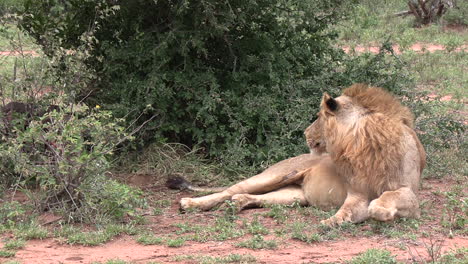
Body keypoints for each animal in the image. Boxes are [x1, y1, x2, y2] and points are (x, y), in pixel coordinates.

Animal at [174, 83, 426, 225]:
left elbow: (388, 197)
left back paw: (237, 204)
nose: (304, 132)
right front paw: (330, 221)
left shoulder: (409, 192)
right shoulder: (357, 193)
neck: (361, 145)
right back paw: (190, 203)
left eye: (319, 116)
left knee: (250, 196)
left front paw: (379, 209)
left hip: (294, 195)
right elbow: (346, 211)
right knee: (228, 190)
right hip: (273, 176)